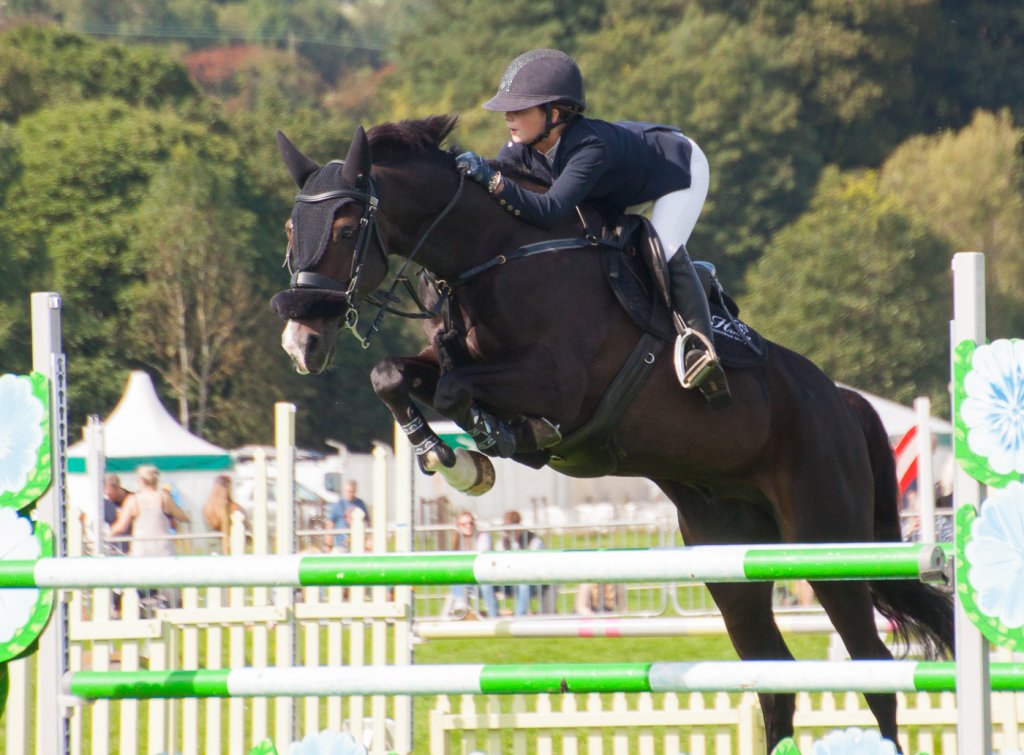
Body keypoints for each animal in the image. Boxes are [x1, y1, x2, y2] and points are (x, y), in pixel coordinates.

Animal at [270, 114, 953, 752]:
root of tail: (841, 401)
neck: (498, 256)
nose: (301, 342)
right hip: (730, 553)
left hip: (827, 542)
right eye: (291, 230)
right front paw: (456, 458)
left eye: (347, 229)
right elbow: (395, 375)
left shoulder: (559, 385)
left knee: (874, 670)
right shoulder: (454, 359)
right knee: (775, 678)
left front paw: (491, 443)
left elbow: (456, 391)